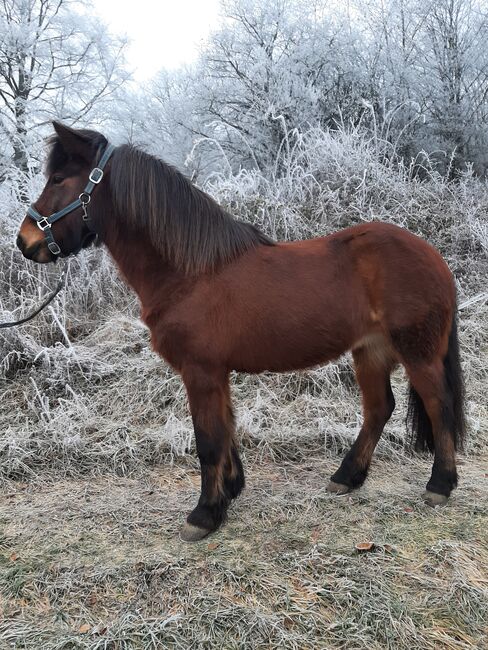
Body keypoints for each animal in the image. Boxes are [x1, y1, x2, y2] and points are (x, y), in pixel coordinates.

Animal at [16, 122, 465, 541]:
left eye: (59, 179)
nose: (25, 241)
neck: (190, 273)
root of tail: (434, 257)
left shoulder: (200, 371)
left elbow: (208, 439)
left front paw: (204, 515)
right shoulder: (216, 373)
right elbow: (226, 429)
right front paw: (229, 491)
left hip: (418, 352)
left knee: (438, 404)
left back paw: (439, 485)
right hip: (370, 351)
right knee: (378, 409)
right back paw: (346, 477)